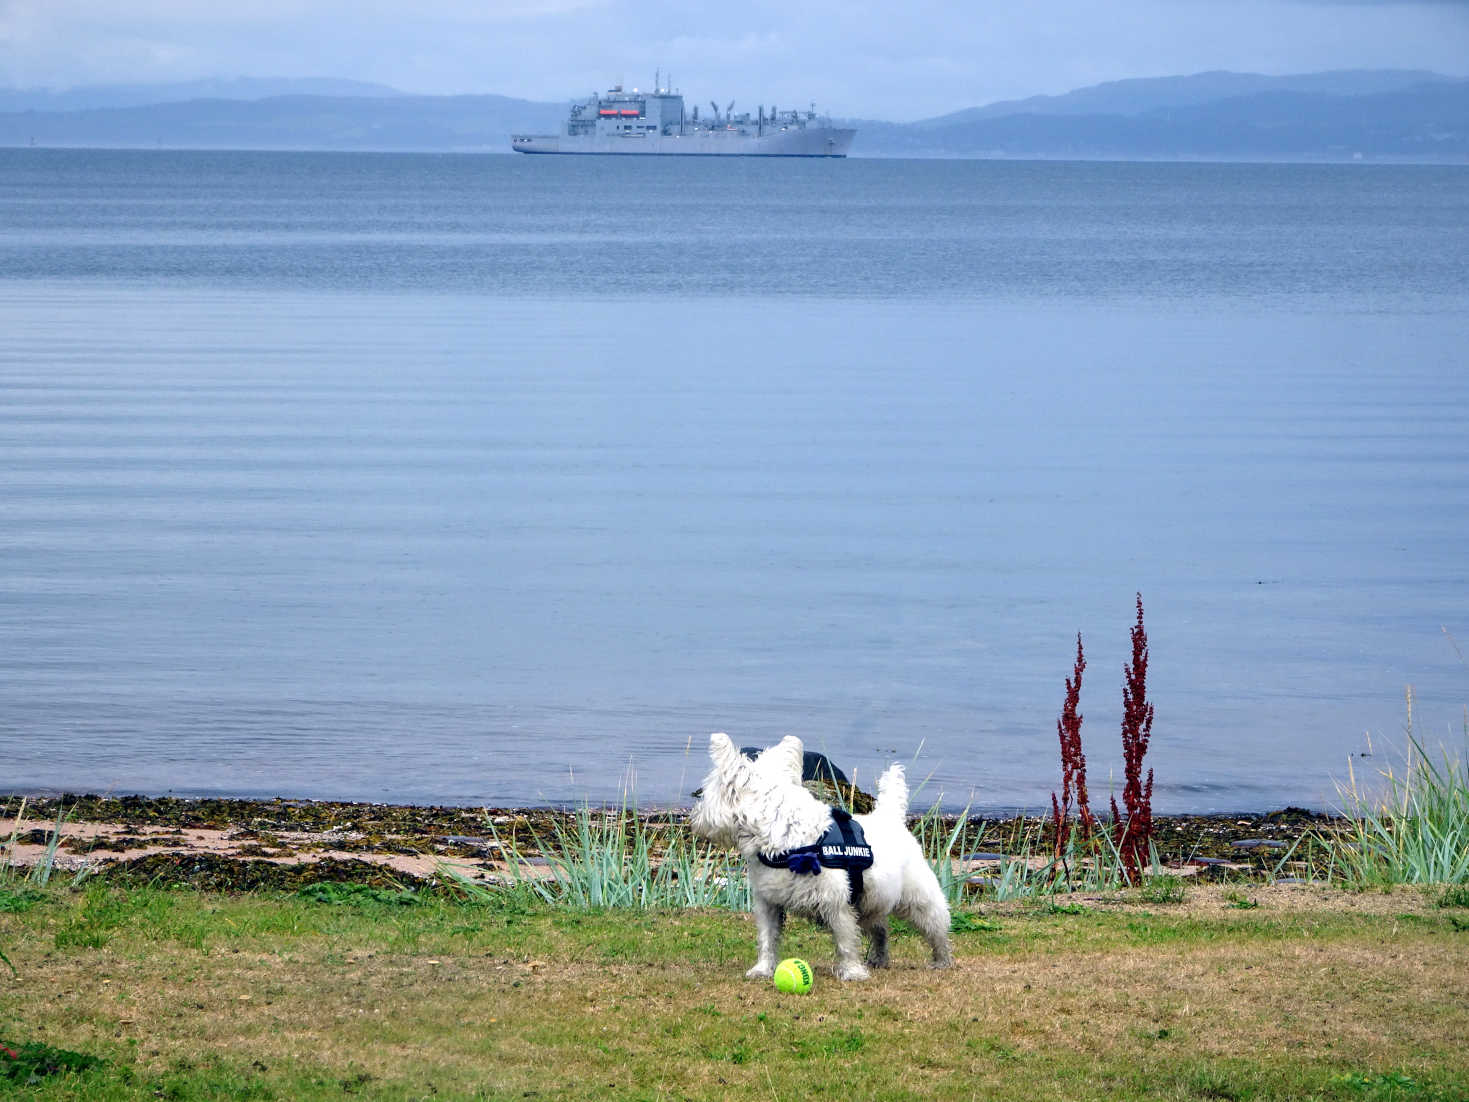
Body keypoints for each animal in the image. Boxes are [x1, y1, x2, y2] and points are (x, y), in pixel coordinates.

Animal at [687, 734, 951, 981]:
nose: (694, 818)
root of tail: (890, 816)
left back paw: (942, 961)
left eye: (706, 793)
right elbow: (767, 939)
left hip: (919, 898)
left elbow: (845, 942)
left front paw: (852, 973)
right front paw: (762, 969)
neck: (786, 841)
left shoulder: (837, 905)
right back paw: (878, 959)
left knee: (937, 928)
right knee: (881, 929)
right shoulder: (769, 903)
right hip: (870, 904)